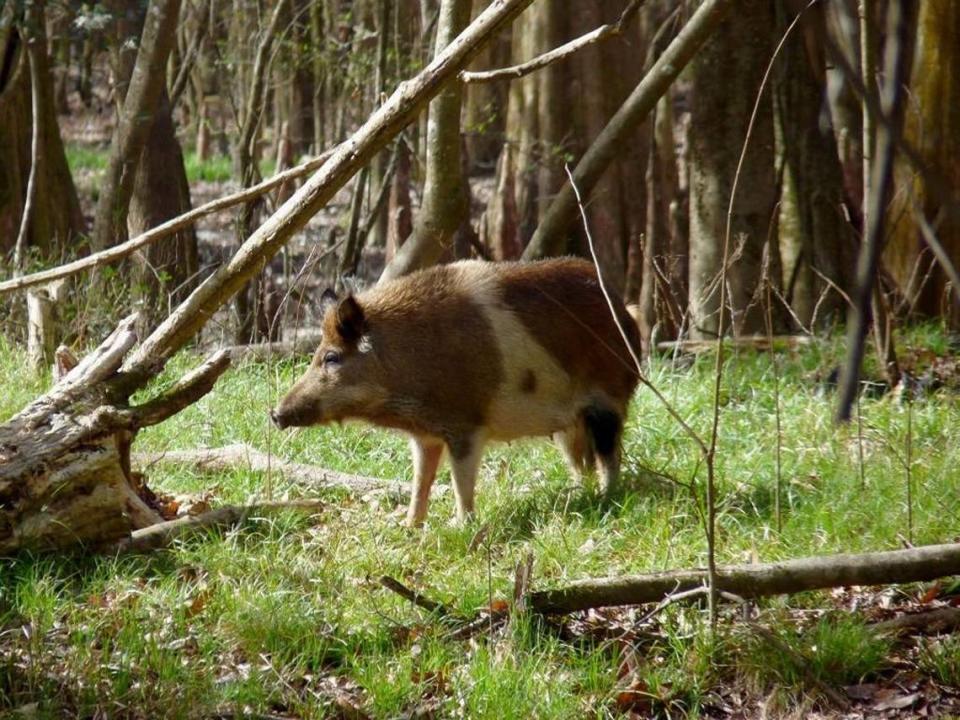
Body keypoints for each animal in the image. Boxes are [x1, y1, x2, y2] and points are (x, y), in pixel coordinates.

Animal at [270, 258, 640, 524]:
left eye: (331, 357)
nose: (274, 413)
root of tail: (627, 313)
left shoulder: (467, 425)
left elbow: (461, 481)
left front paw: (461, 527)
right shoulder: (425, 435)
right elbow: (421, 480)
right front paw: (409, 527)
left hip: (608, 402)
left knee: (610, 457)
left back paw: (606, 500)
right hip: (570, 425)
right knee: (581, 462)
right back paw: (578, 497)